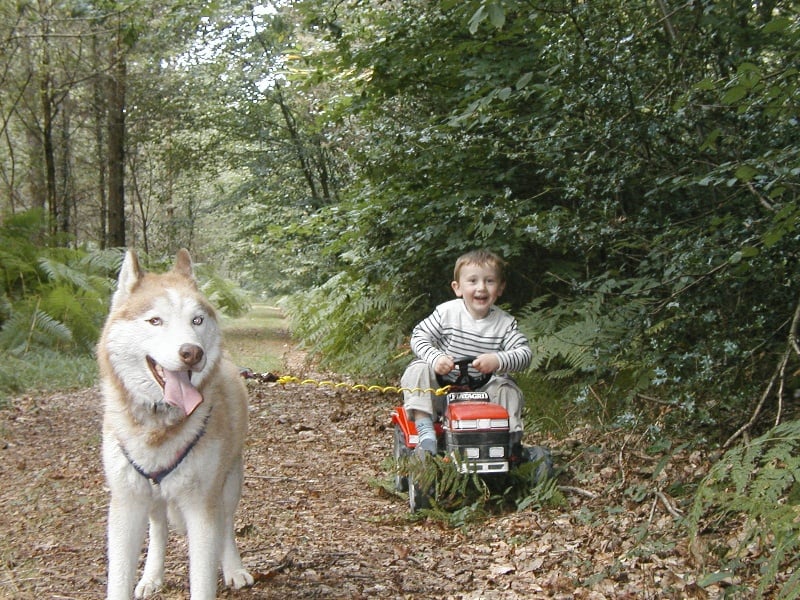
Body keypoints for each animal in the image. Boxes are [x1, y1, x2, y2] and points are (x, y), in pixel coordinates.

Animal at [98, 250, 253, 600]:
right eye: (155, 321)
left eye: (197, 320)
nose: (192, 352)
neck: (160, 426)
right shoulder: (127, 504)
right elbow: (119, 578)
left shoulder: (201, 506)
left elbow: (203, 578)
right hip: (154, 498)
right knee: (158, 528)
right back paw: (152, 576)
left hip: (228, 485)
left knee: (226, 525)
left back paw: (234, 568)